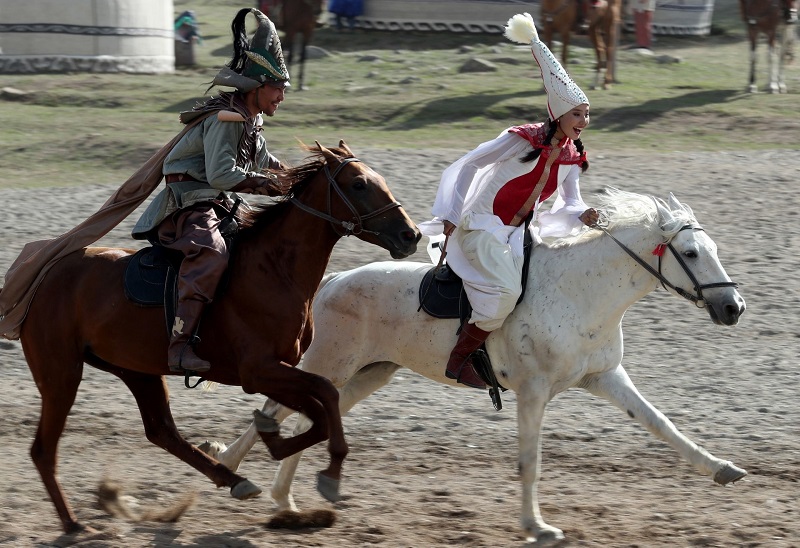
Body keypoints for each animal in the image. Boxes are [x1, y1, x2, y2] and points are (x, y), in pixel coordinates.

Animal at [15, 141, 422, 536]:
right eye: (359, 184)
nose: (411, 235)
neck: (274, 270)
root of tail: (43, 274)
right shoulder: (258, 371)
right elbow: (324, 400)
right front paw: (324, 471)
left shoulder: (280, 370)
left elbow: (316, 407)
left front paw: (274, 441)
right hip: (61, 374)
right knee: (43, 450)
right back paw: (72, 522)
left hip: (137, 371)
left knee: (162, 432)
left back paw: (233, 480)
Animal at [203, 188, 748, 544]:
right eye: (691, 252)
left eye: (714, 250)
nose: (733, 308)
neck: (580, 293)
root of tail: (334, 281)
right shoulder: (533, 391)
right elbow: (530, 462)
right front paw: (537, 526)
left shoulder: (605, 378)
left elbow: (661, 424)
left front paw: (722, 468)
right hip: (333, 365)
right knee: (274, 412)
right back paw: (233, 470)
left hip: (367, 375)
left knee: (303, 419)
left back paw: (284, 500)